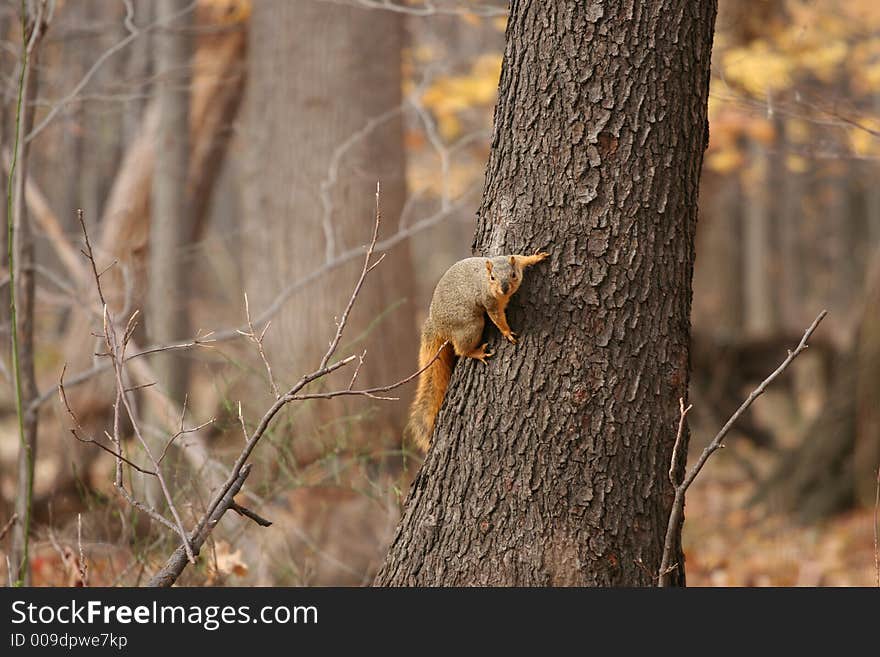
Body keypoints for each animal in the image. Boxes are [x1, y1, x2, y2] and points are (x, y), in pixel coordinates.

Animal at [408, 251, 552, 452]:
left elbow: (520, 258)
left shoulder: (511, 258)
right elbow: (497, 318)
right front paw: (507, 333)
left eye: (513, 274)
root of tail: (437, 325)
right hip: (471, 325)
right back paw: (477, 353)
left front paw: (536, 257)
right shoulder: (489, 302)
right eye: (492, 278)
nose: (504, 289)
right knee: (460, 350)